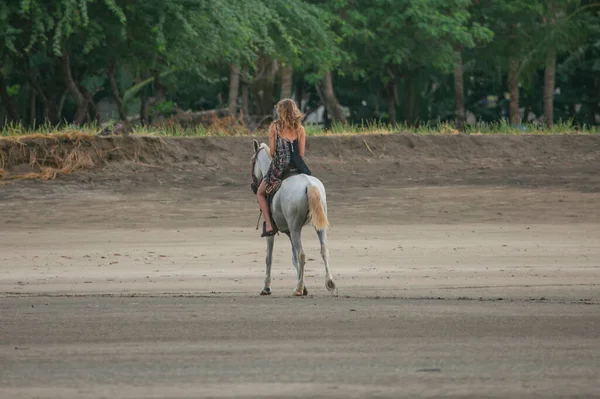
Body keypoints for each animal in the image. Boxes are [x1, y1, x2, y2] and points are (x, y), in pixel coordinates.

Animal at [251, 140, 336, 296]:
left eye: (251, 160)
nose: (253, 186)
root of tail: (309, 184)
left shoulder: (273, 233)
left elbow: (269, 258)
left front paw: (266, 287)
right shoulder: (289, 232)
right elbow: (293, 258)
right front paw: (303, 283)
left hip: (296, 228)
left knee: (302, 254)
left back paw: (299, 288)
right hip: (317, 227)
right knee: (323, 251)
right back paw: (329, 283)